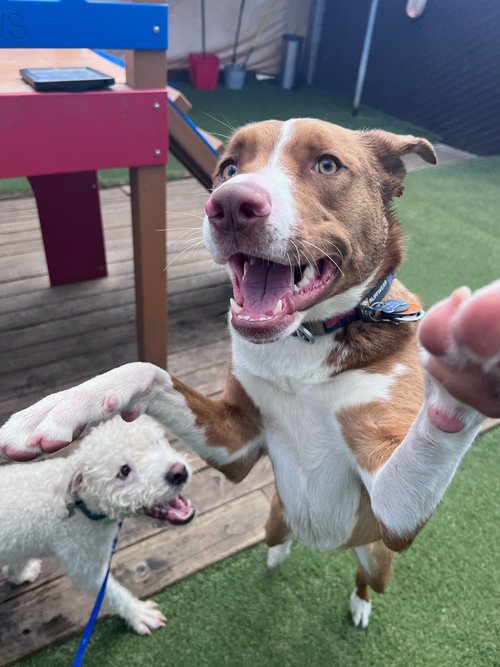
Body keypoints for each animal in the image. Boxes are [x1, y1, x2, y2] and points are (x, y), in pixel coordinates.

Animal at [0, 418, 194, 636]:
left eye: (156, 443)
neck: (78, 506)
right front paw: (138, 614)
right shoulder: (84, 567)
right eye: (124, 471)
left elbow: (18, 560)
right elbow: (113, 594)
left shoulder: (22, 541)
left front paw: (19, 575)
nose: (179, 472)